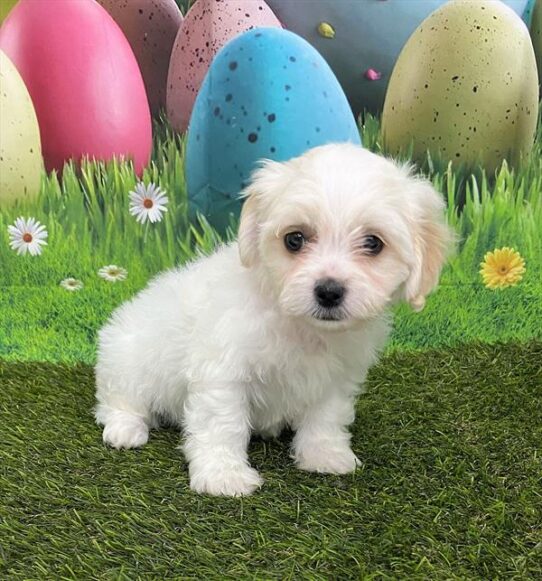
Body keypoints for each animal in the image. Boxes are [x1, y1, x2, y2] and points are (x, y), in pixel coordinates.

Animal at [95, 143, 456, 496]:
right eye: (294, 239)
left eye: (373, 243)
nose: (329, 291)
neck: (299, 323)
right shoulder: (223, 370)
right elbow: (222, 423)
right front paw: (223, 476)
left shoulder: (336, 377)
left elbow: (326, 417)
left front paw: (325, 455)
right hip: (126, 361)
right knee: (118, 399)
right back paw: (125, 429)